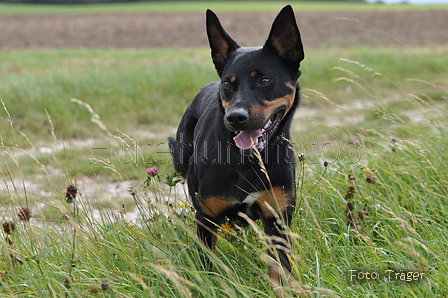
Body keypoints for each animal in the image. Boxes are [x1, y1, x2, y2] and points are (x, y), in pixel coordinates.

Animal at [168, 4, 304, 288]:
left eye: (265, 80)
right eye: (228, 84)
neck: (247, 160)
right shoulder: (206, 219)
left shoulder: (277, 221)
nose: (235, 117)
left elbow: (279, 274)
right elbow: (208, 267)